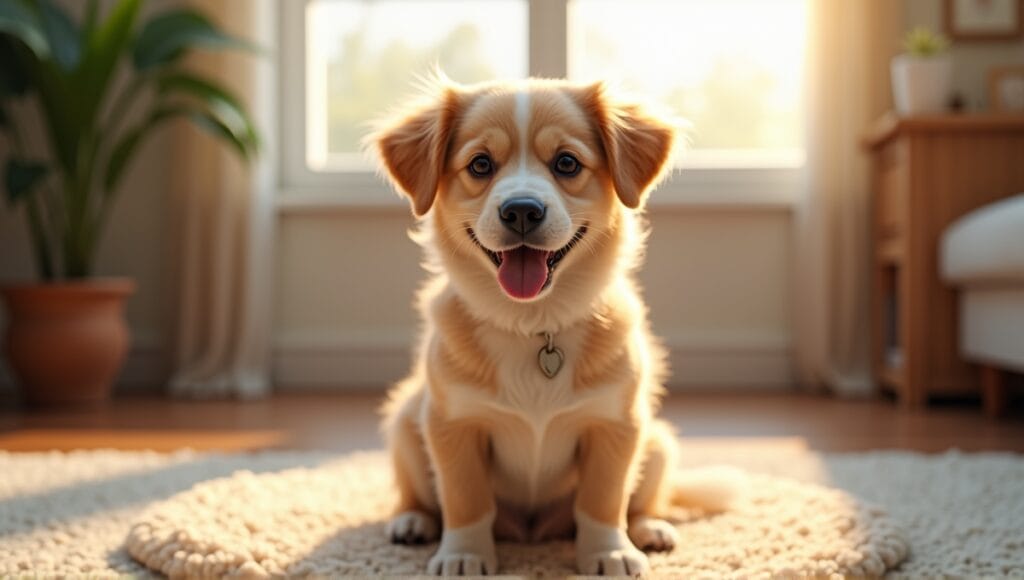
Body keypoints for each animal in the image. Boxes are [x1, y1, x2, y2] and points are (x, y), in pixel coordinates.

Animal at [368, 77, 737, 577]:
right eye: (480, 164)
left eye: (567, 163)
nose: (521, 210)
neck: (533, 323)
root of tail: (532, 532)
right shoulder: (452, 423)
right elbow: (465, 500)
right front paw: (464, 554)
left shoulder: (616, 423)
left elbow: (603, 501)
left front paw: (608, 552)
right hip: (405, 422)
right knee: (418, 496)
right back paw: (412, 520)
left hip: (658, 441)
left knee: (643, 501)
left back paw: (648, 529)